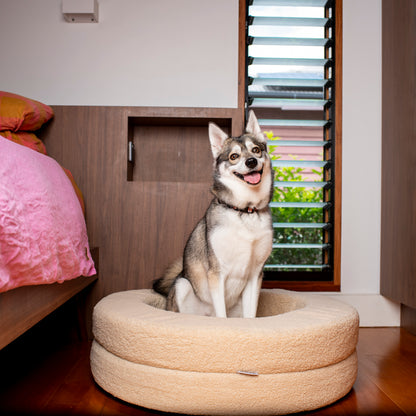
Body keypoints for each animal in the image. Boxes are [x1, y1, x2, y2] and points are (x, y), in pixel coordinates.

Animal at [152, 111, 272, 318]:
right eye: (234, 156)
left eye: (256, 150)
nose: (251, 162)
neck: (245, 212)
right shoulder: (216, 273)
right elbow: (221, 316)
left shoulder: (255, 275)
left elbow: (251, 316)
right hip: (183, 284)